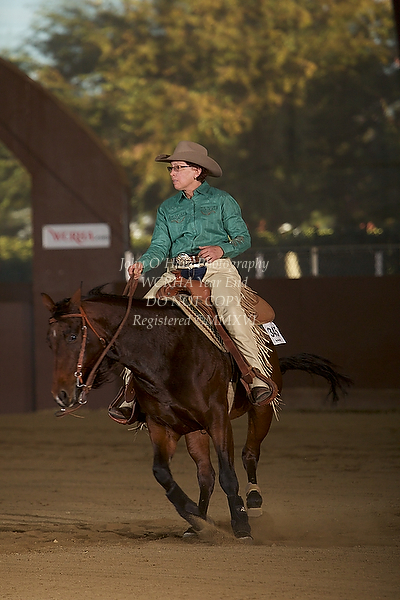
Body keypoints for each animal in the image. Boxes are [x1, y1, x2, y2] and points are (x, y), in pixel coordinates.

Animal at [42, 286, 351, 540]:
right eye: (49, 341)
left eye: (73, 336)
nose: (61, 394)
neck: (166, 353)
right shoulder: (160, 426)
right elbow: (162, 472)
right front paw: (195, 516)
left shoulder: (218, 419)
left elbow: (228, 474)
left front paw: (240, 524)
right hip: (194, 431)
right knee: (206, 474)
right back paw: (199, 523)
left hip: (260, 409)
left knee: (249, 454)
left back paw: (253, 503)